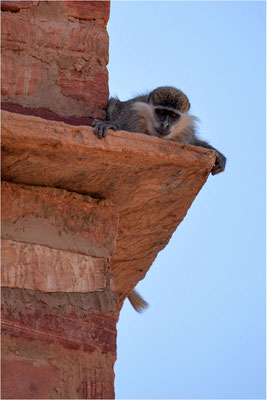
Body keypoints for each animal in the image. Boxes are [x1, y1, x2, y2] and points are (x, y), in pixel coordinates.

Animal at [93, 86, 227, 312]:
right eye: (161, 112)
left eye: (173, 116)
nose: (165, 125)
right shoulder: (133, 117)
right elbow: (120, 115)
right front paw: (111, 125)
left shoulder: (184, 134)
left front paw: (216, 154)